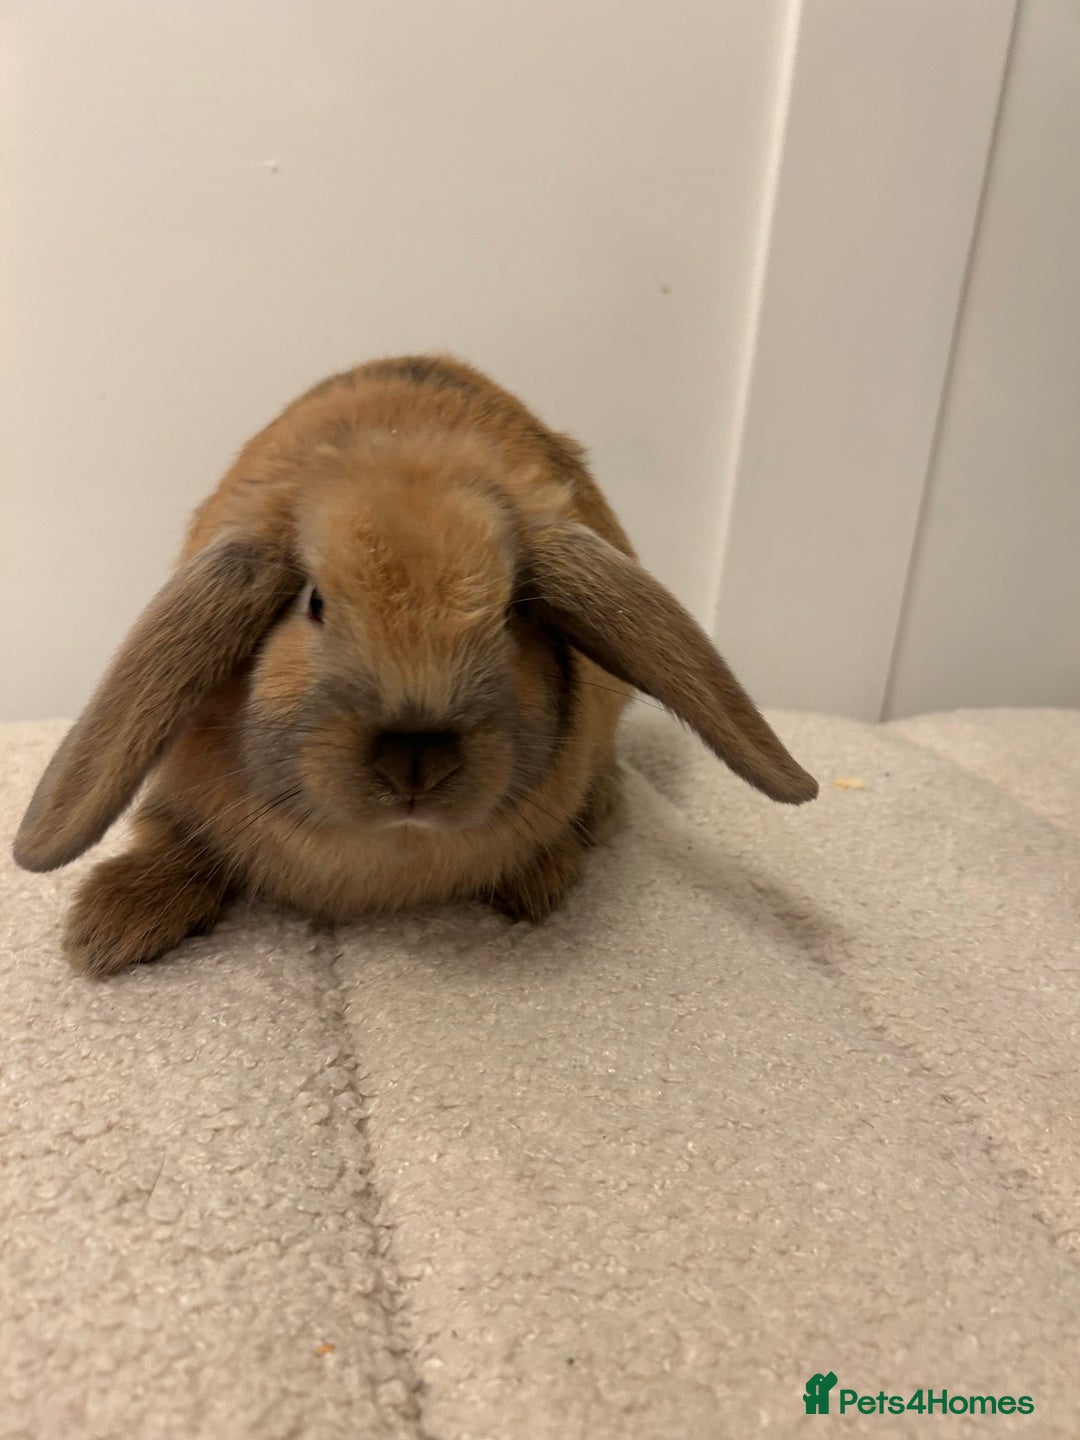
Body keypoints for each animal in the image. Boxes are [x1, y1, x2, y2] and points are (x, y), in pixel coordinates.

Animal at [13, 354, 818, 977]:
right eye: (314, 603)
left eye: (512, 614)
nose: (415, 760)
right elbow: (173, 841)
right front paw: (108, 930)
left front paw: (538, 879)